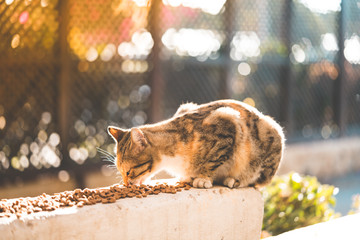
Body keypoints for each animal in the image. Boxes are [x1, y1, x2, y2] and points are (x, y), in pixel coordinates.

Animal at [107, 100, 284, 189]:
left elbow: (213, 159)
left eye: (129, 172)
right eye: (121, 172)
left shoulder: (227, 121)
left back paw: (235, 180)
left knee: (257, 181)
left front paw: (202, 178)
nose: (126, 184)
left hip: (271, 138)